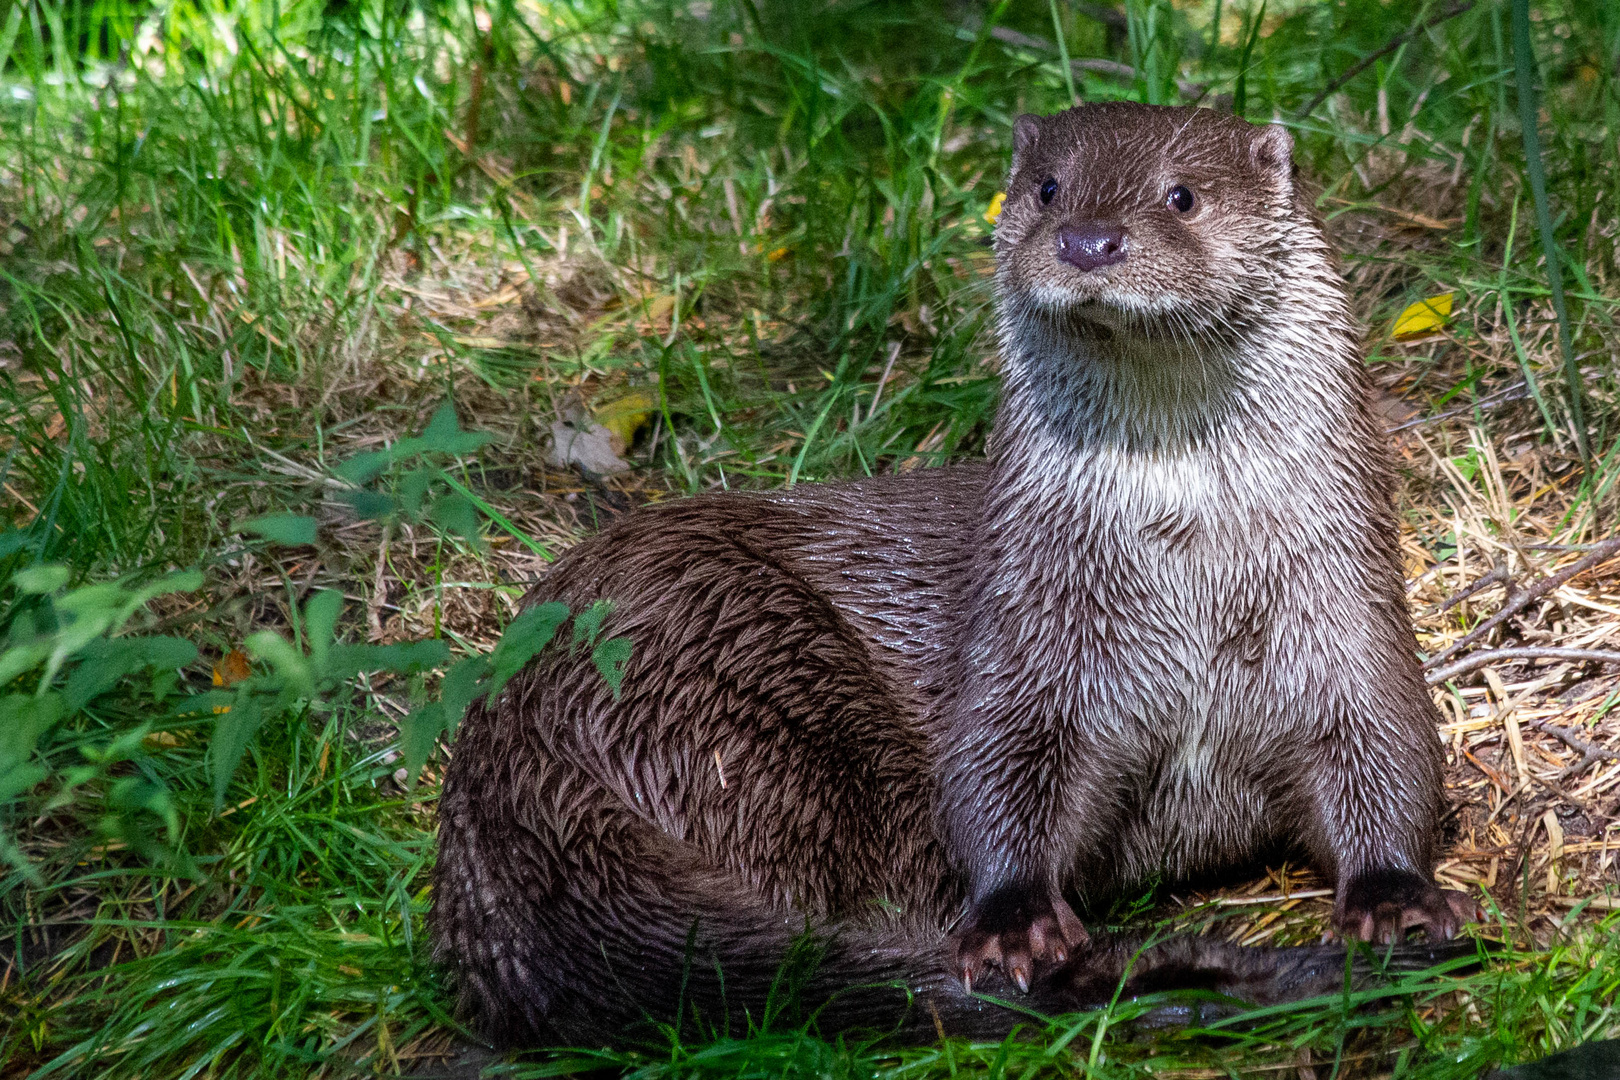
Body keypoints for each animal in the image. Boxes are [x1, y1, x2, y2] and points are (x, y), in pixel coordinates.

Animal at [430, 101, 1483, 1049]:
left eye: (1181, 195)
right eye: (1050, 187)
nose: (1088, 241)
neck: (1189, 566)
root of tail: (510, 772)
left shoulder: (1347, 608)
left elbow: (1390, 751)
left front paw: (1392, 899)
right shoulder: (1028, 631)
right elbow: (996, 769)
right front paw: (1017, 925)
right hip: (736, 659)